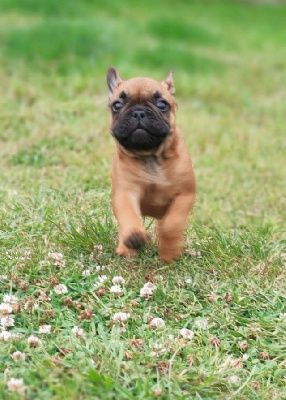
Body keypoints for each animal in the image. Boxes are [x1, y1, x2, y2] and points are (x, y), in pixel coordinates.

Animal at [106, 68, 196, 262]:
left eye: (162, 104)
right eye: (117, 105)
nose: (138, 112)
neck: (151, 157)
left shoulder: (184, 195)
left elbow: (172, 224)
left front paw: (169, 252)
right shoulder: (125, 193)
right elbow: (128, 215)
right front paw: (134, 236)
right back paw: (125, 248)